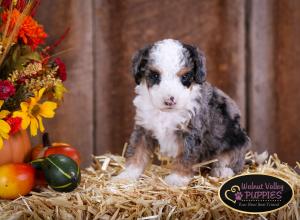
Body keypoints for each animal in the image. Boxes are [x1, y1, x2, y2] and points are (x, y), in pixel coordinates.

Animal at [113, 39, 250, 186]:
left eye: (185, 76)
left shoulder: (190, 132)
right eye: (155, 75)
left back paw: (223, 171)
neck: (167, 113)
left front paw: (176, 179)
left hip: (238, 141)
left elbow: (185, 156)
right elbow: (137, 151)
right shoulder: (143, 129)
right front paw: (127, 175)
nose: (170, 100)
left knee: (231, 160)